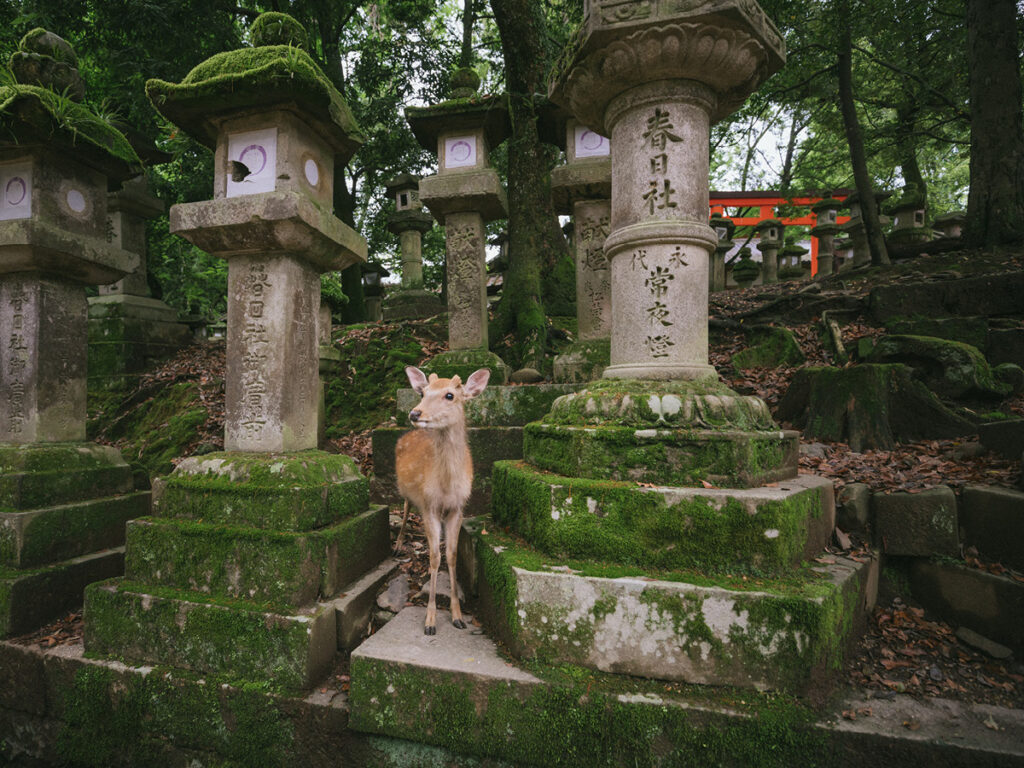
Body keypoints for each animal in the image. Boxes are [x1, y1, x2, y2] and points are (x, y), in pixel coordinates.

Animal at [393, 366, 489, 638]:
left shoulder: (458, 508)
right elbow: (435, 557)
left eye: (450, 395)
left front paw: (458, 617)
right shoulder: (430, 506)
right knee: (405, 508)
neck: (446, 486)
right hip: (404, 489)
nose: (415, 413)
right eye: (423, 392)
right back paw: (398, 543)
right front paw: (430, 620)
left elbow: (452, 555)